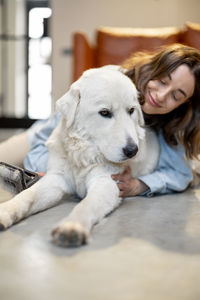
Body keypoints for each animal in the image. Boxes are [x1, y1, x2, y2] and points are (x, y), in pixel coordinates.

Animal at [0, 65, 159, 246]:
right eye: (105, 112)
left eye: (131, 110)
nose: (132, 150)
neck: (83, 155)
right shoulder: (56, 179)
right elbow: (27, 196)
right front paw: (5, 211)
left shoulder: (106, 183)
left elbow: (86, 205)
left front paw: (72, 226)